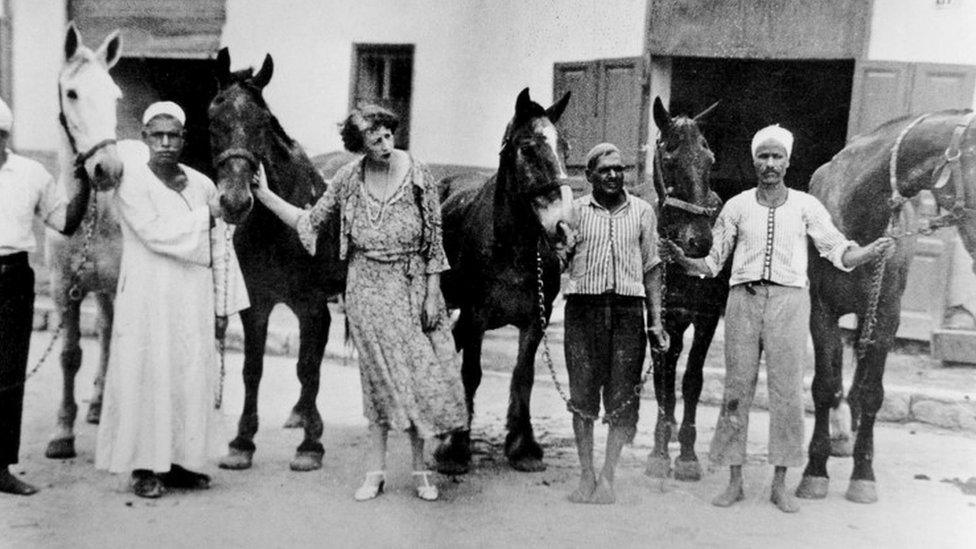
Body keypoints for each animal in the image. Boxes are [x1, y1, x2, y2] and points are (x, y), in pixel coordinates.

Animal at [206, 49, 344, 470]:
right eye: (213, 119)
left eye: (264, 122)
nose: (235, 202)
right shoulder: (257, 305)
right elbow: (253, 369)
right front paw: (242, 442)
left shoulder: (310, 304)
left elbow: (307, 366)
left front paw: (311, 445)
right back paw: (300, 412)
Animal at [432, 89, 576, 470]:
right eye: (527, 148)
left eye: (565, 147)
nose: (564, 228)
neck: (510, 248)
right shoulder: (476, 315)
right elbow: (472, 373)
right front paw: (457, 447)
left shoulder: (536, 319)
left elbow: (523, 374)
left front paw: (522, 445)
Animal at [792, 110, 976, 500]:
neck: (859, 211)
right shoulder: (822, 313)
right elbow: (823, 385)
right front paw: (815, 470)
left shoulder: (887, 316)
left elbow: (873, 392)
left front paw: (863, 473)